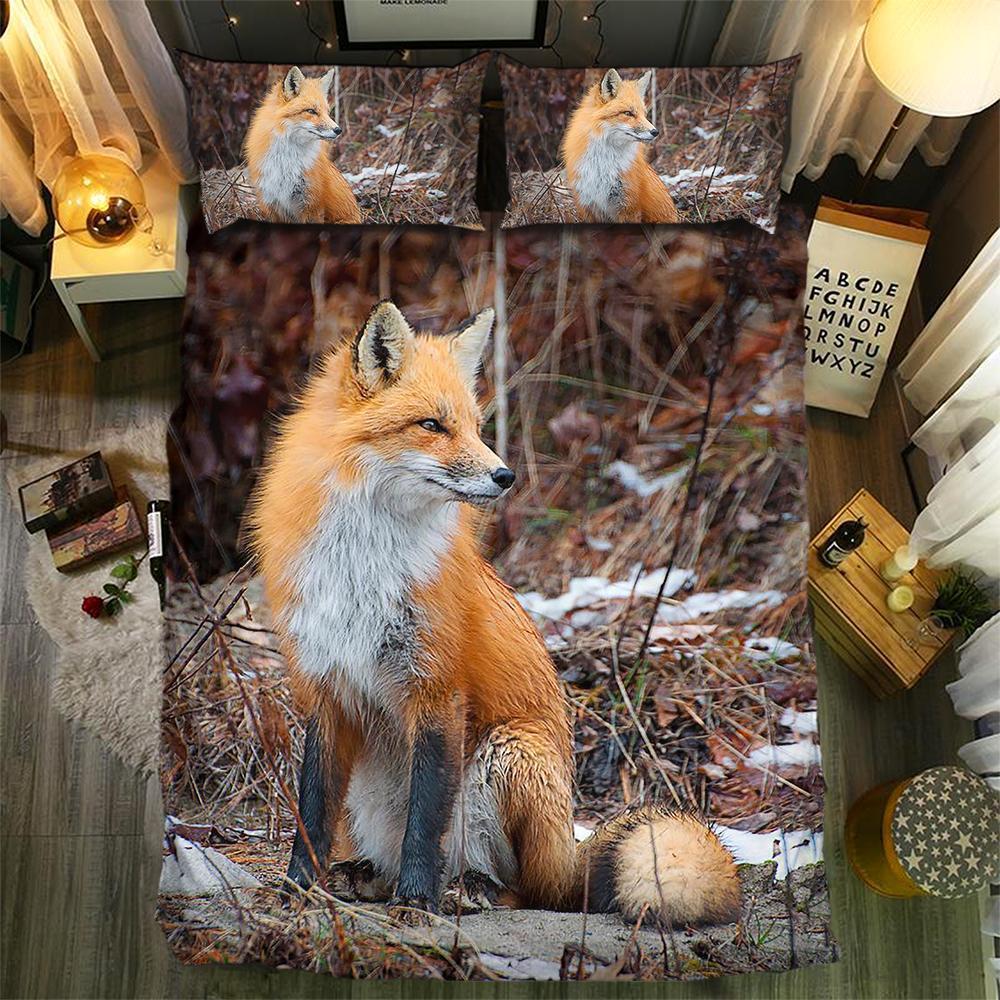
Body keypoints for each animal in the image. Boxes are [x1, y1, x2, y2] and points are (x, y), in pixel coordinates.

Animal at [244, 66, 361, 225]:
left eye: (327, 112)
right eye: (311, 111)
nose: (338, 130)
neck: (286, 161)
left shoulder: (312, 204)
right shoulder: (271, 203)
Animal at [249, 300, 739, 924]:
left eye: (476, 427)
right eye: (432, 425)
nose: (505, 476)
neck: (362, 565)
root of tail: (567, 852)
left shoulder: (437, 688)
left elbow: (426, 816)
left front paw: (417, 901)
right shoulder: (326, 686)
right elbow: (311, 809)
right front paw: (298, 890)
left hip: (510, 755)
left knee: (528, 890)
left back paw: (468, 887)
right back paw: (370, 875)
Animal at [562, 68, 679, 225]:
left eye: (644, 114)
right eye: (628, 113)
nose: (655, 132)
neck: (603, 164)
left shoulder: (628, 205)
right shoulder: (587, 204)